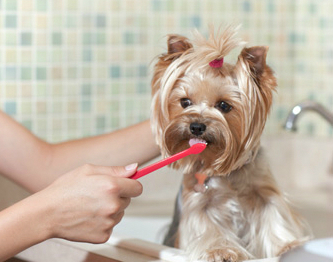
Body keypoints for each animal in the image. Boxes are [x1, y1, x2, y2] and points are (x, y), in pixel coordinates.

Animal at [149, 25, 308, 262]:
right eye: (185, 102)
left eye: (224, 105)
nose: (197, 126)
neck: (224, 170)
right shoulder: (198, 202)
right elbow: (208, 228)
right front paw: (221, 251)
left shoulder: (265, 193)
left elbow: (274, 218)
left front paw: (289, 246)